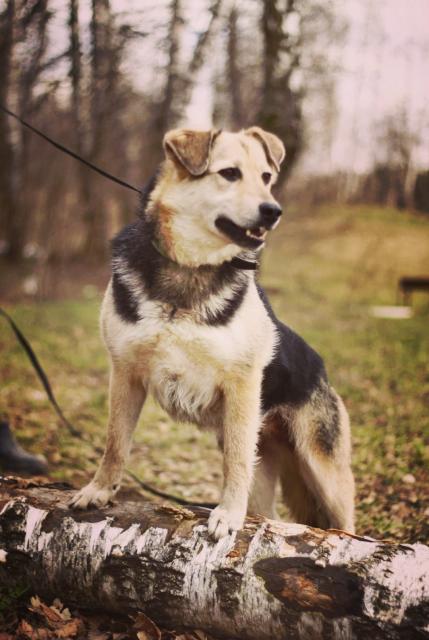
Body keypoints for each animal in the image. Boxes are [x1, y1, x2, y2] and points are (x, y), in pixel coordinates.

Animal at [69, 127, 355, 540]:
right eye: (230, 173)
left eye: (266, 177)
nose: (273, 211)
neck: (189, 267)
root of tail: (322, 370)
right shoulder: (125, 375)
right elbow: (115, 443)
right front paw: (100, 490)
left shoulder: (240, 386)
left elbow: (234, 460)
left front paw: (229, 514)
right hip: (269, 469)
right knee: (267, 509)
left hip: (324, 472)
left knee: (340, 517)